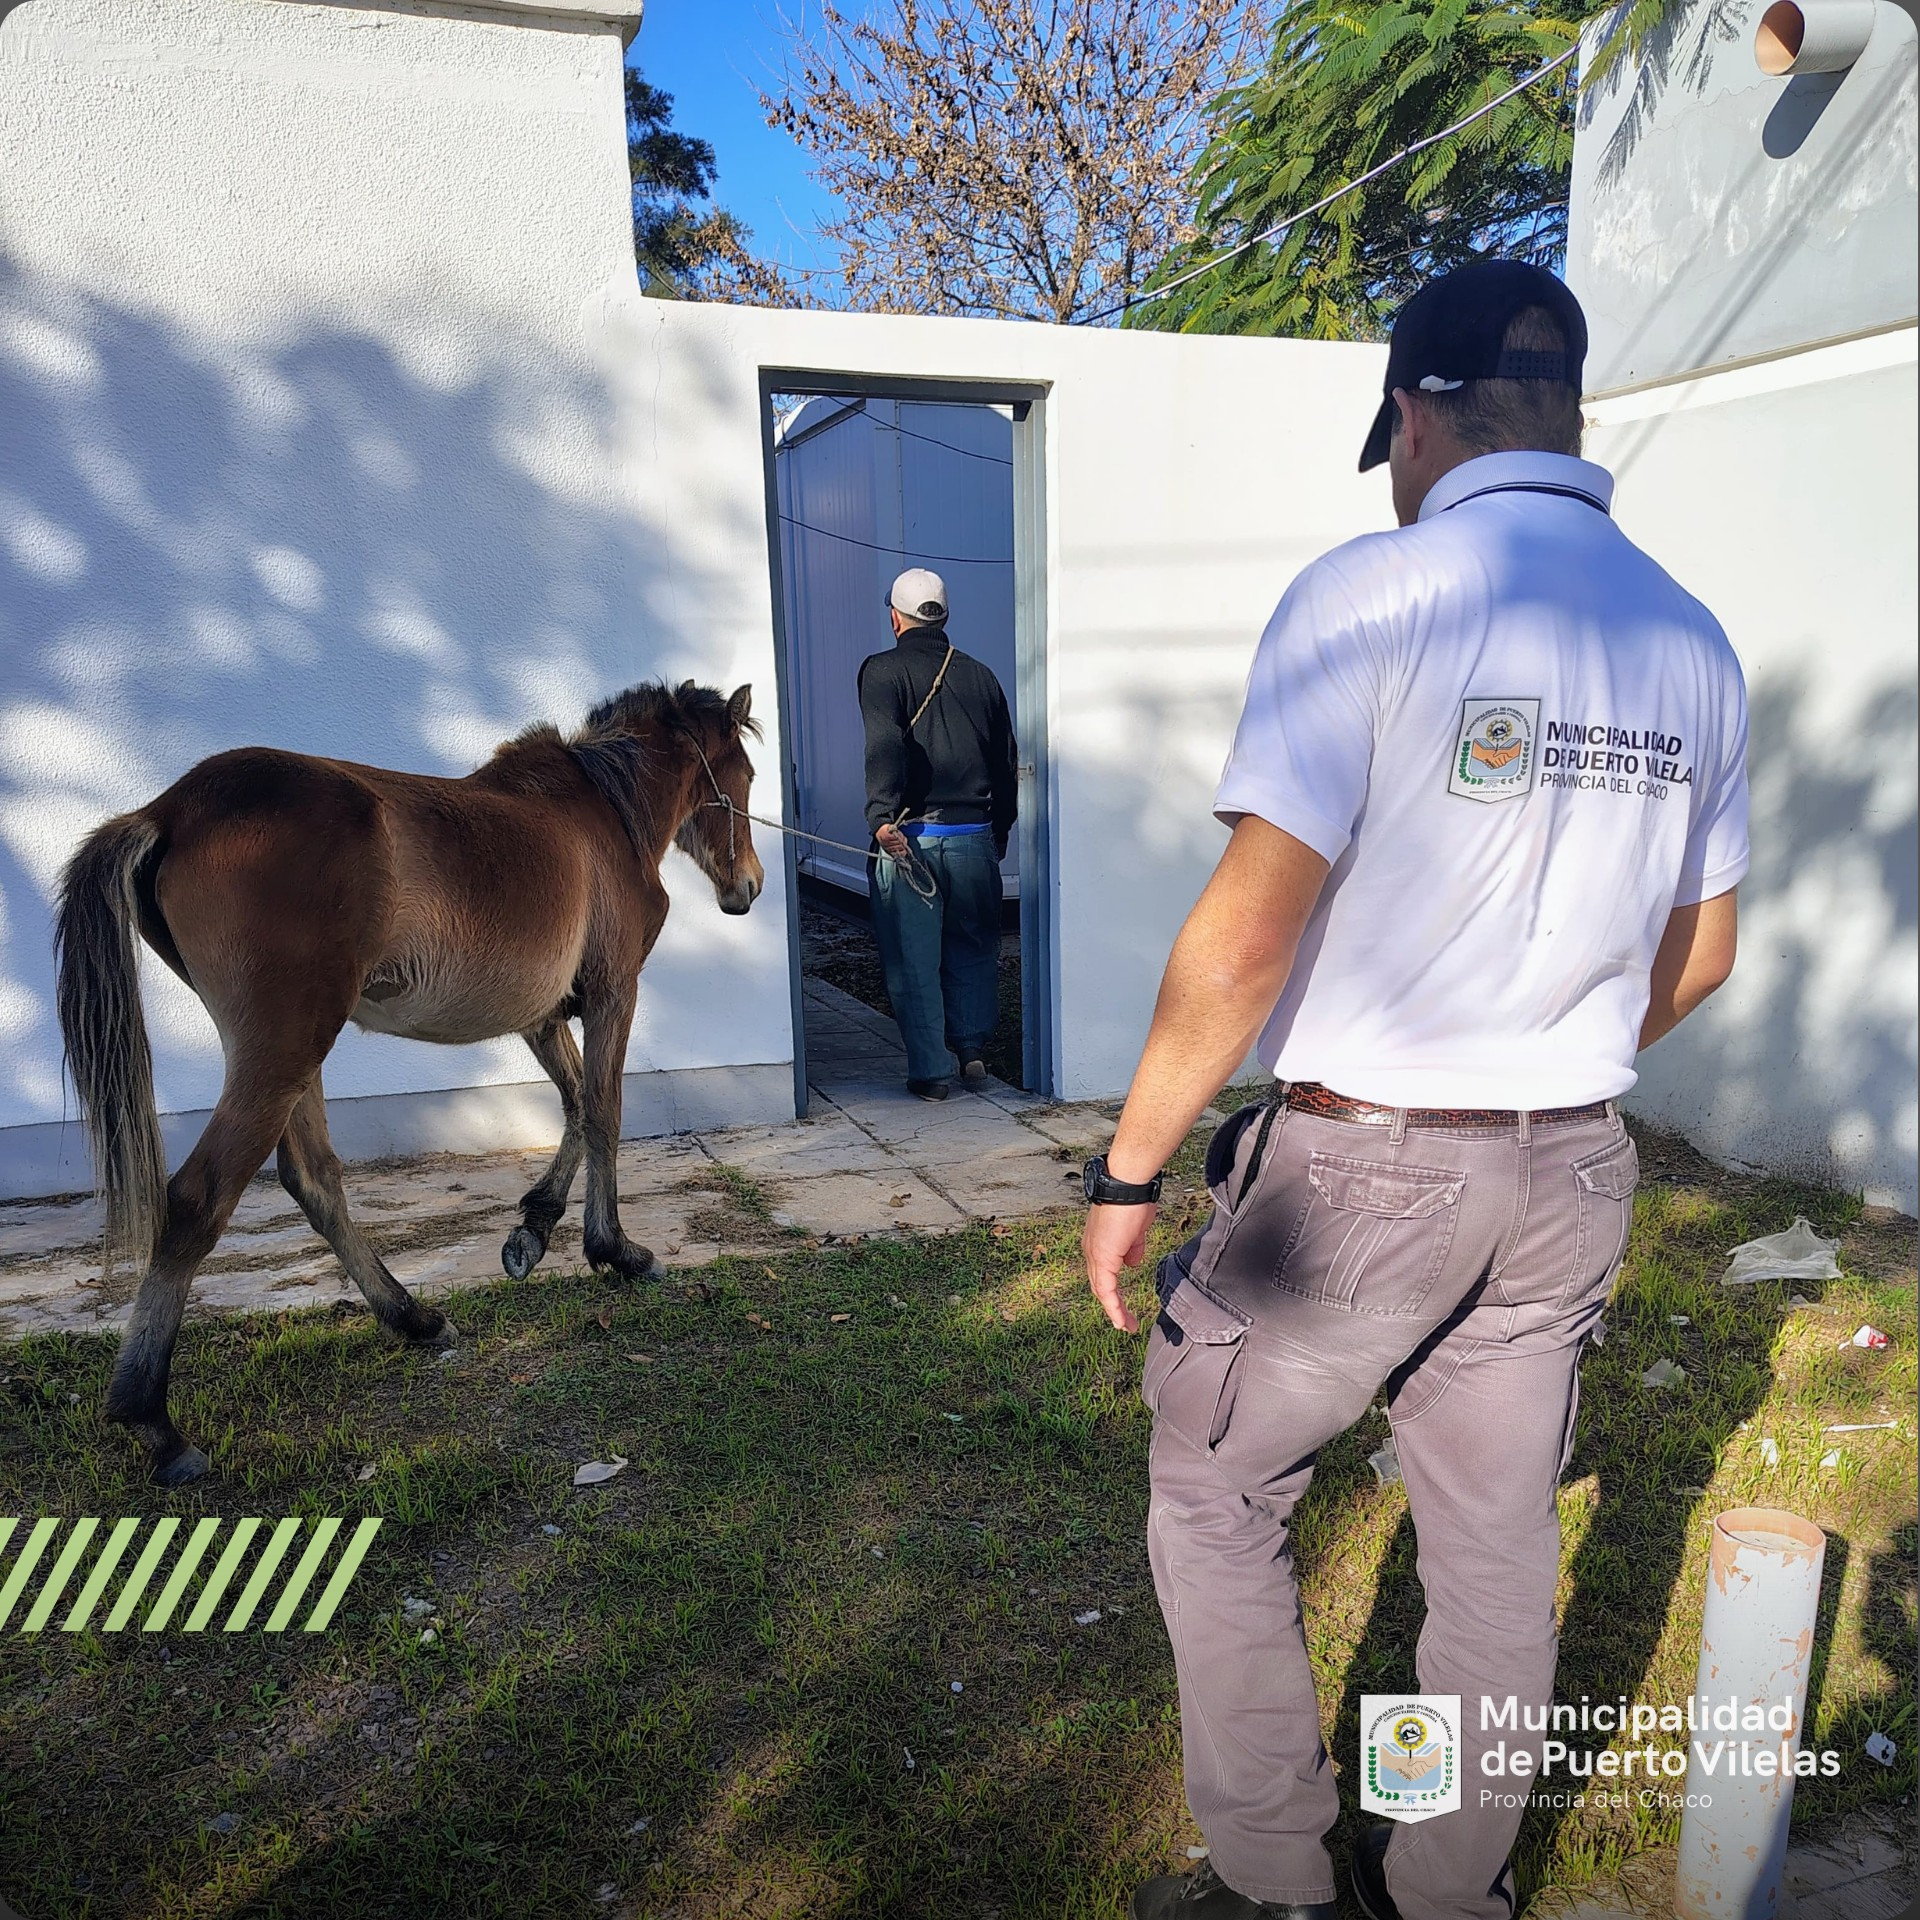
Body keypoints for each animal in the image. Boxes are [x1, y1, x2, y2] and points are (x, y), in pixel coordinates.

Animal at [54, 679, 764, 1484]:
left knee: (315, 1181)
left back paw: (412, 1317)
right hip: (285, 1048)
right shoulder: (614, 991)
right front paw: (615, 1250)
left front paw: (533, 1230)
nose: (747, 887)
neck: (603, 805)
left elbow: (577, 1105)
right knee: (199, 1198)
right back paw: (155, 1422)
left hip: (293, 1055)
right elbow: (606, 1110)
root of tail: (169, 810)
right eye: (743, 777)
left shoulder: (542, 1015)